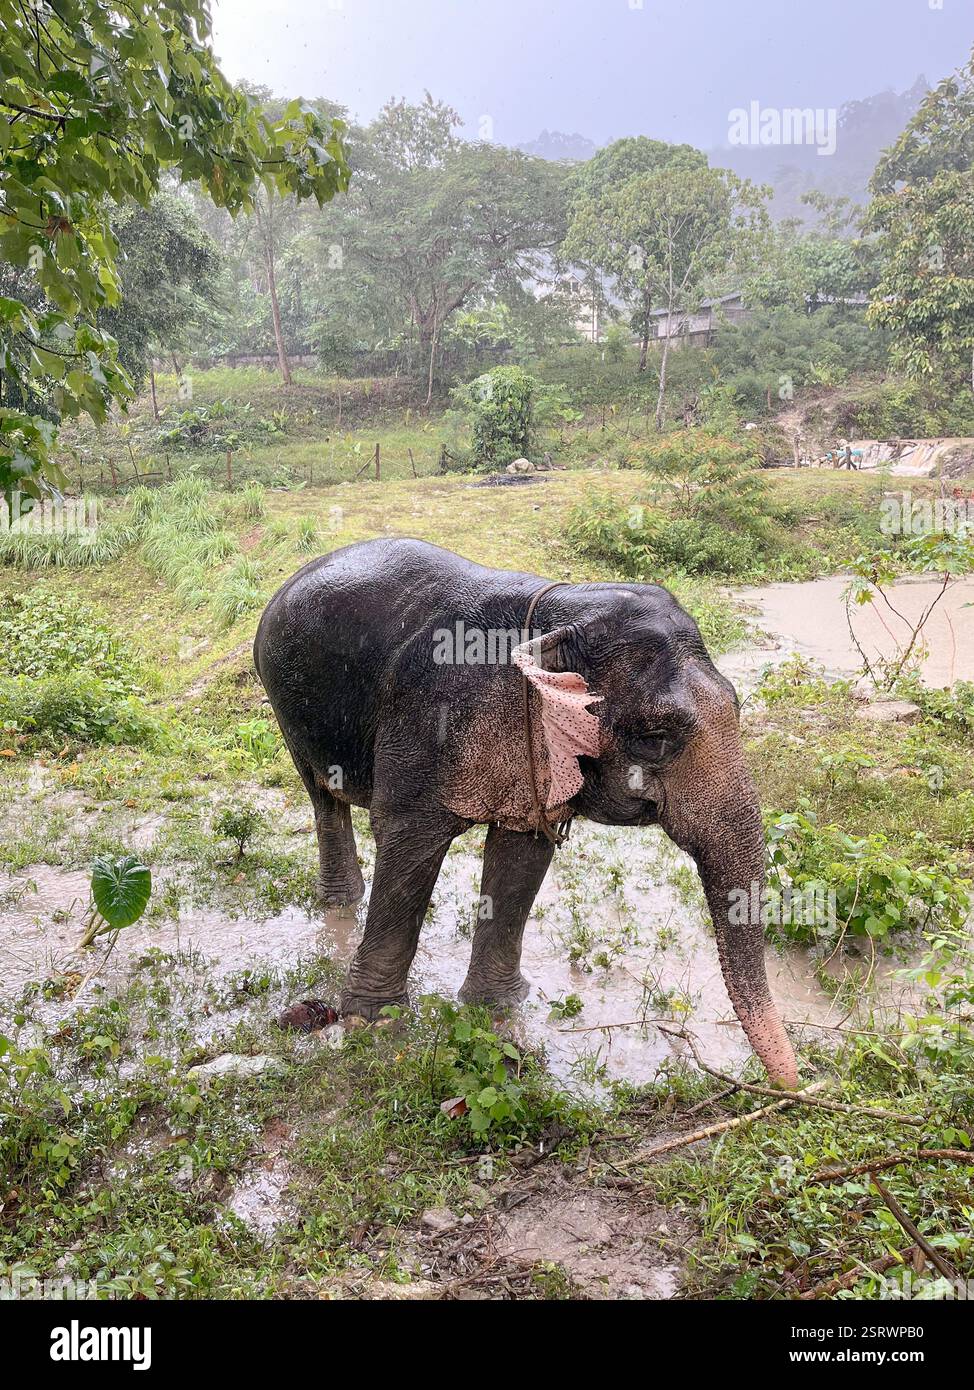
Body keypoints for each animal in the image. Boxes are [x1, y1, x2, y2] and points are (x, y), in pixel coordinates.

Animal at [253, 536, 799, 1089]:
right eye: (655, 738)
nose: (793, 1083)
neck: (561, 615)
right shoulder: (423, 728)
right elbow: (408, 844)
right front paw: (375, 1025)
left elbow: (522, 855)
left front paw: (499, 1007)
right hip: (284, 700)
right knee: (323, 796)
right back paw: (341, 903)